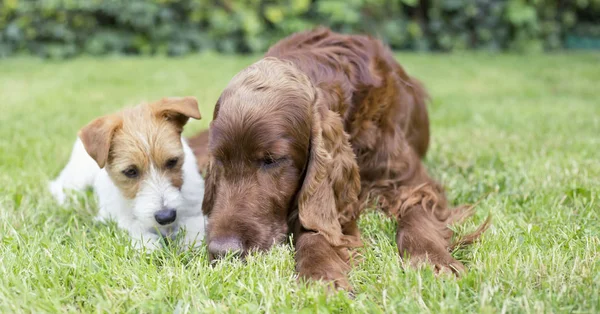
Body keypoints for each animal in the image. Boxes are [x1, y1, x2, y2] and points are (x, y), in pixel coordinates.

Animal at [48, 97, 206, 251]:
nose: (166, 217)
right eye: (130, 171)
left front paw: (191, 241)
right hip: (79, 176)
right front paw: (147, 244)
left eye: (172, 161)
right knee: (60, 185)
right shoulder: (113, 215)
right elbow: (132, 225)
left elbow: (196, 223)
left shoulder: (197, 207)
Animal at [199, 27, 490, 290]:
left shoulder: (411, 181)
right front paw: (321, 273)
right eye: (220, 159)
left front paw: (432, 260)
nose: (223, 251)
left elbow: (417, 215)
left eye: (271, 160)